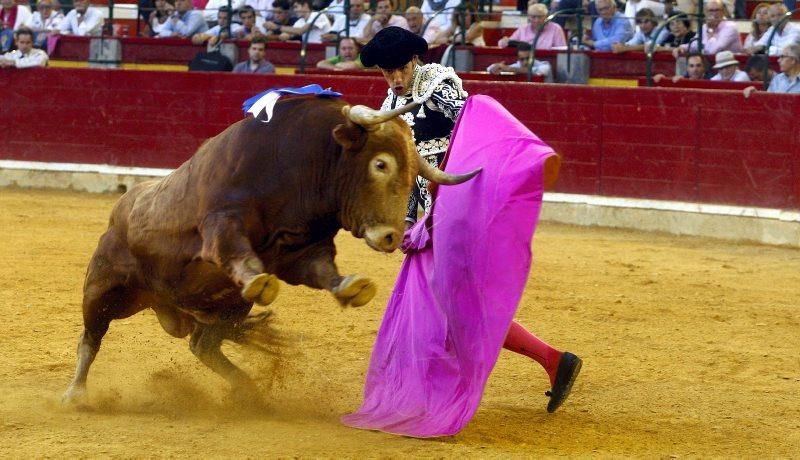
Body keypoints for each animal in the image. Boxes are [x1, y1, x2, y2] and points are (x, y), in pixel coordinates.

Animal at [62, 97, 478, 402]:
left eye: (411, 174)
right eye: (380, 164)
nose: (392, 237)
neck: (300, 170)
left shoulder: (304, 251)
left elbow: (324, 271)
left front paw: (352, 287)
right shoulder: (221, 223)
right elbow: (235, 251)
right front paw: (260, 281)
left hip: (228, 308)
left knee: (203, 345)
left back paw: (248, 392)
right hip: (103, 287)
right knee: (91, 336)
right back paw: (76, 394)